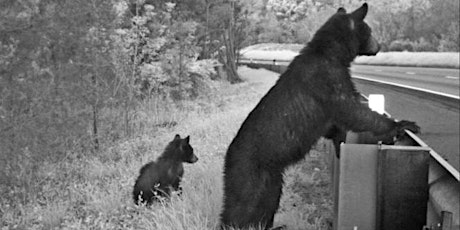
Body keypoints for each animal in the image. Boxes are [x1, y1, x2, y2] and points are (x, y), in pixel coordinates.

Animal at [221, 3, 418, 230]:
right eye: (370, 30)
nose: (379, 45)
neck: (331, 53)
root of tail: (228, 156)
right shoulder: (328, 78)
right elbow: (352, 110)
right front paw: (401, 125)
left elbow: (335, 125)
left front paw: (340, 143)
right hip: (250, 171)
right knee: (244, 204)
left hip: (272, 176)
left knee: (268, 200)